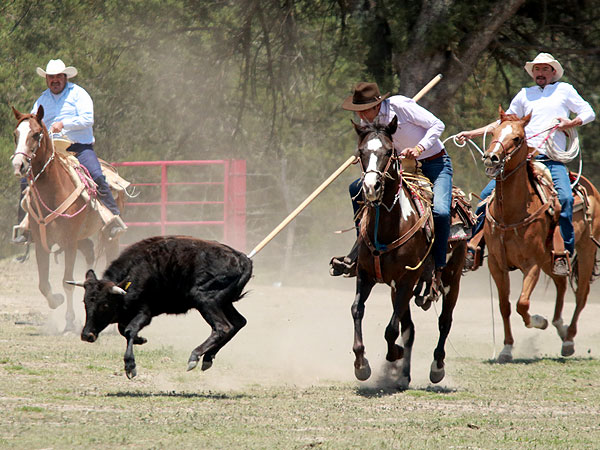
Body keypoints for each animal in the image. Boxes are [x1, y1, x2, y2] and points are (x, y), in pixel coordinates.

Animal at [11, 104, 124, 330]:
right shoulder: (41, 243)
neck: (54, 190)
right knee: (89, 253)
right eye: (16, 134)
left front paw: (70, 322)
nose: (19, 165)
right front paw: (57, 301)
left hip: (108, 236)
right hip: (82, 238)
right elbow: (43, 284)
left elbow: (67, 281)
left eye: (36, 134)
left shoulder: (69, 241)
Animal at [352, 116, 468, 386]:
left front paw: (393, 354)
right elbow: (357, 310)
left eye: (388, 151)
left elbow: (391, 329)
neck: (388, 226)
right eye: (361, 152)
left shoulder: (407, 279)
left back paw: (437, 367)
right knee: (410, 328)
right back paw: (403, 374)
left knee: (444, 321)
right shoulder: (366, 275)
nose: (371, 187)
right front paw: (361, 364)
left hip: (451, 279)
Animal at [480, 108, 600, 362]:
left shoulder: (531, 265)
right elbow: (505, 306)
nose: (491, 158)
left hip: (585, 250)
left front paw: (539, 321)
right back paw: (560, 327)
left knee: (581, 294)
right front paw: (506, 348)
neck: (510, 214)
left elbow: (522, 303)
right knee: (561, 285)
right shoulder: (496, 264)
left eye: (517, 138)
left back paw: (568, 339)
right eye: (494, 132)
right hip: (551, 259)